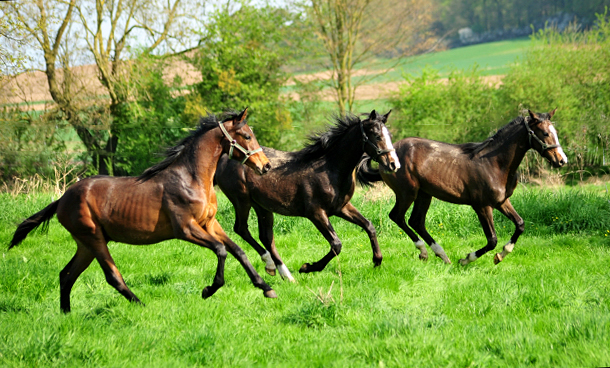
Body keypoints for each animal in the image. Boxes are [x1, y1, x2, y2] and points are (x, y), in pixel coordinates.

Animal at [10, 108, 276, 312]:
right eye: (246, 136)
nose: (266, 166)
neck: (192, 179)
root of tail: (62, 199)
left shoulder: (209, 224)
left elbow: (238, 251)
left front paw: (266, 286)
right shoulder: (186, 229)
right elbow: (221, 250)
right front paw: (208, 290)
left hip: (85, 245)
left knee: (66, 275)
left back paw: (66, 314)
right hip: (94, 238)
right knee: (111, 276)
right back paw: (140, 305)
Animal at [214, 110, 400, 282]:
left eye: (389, 135)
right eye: (377, 136)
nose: (394, 164)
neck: (329, 169)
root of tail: (223, 158)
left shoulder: (341, 207)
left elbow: (369, 226)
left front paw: (377, 260)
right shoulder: (316, 213)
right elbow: (336, 244)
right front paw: (308, 267)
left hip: (262, 206)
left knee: (266, 237)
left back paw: (282, 273)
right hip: (242, 201)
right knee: (241, 229)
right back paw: (272, 265)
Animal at [356, 109, 564, 264]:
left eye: (556, 133)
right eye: (545, 133)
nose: (562, 160)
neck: (494, 163)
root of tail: (386, 158)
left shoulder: (502, 201)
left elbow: (520, 224)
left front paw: (501, 255)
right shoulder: (482, 206)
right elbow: (492, 239)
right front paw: (466, 259)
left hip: (424, 194)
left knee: (416, 221)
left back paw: (442, 255)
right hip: (408, 193)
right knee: (397, 216)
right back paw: (425, 252)